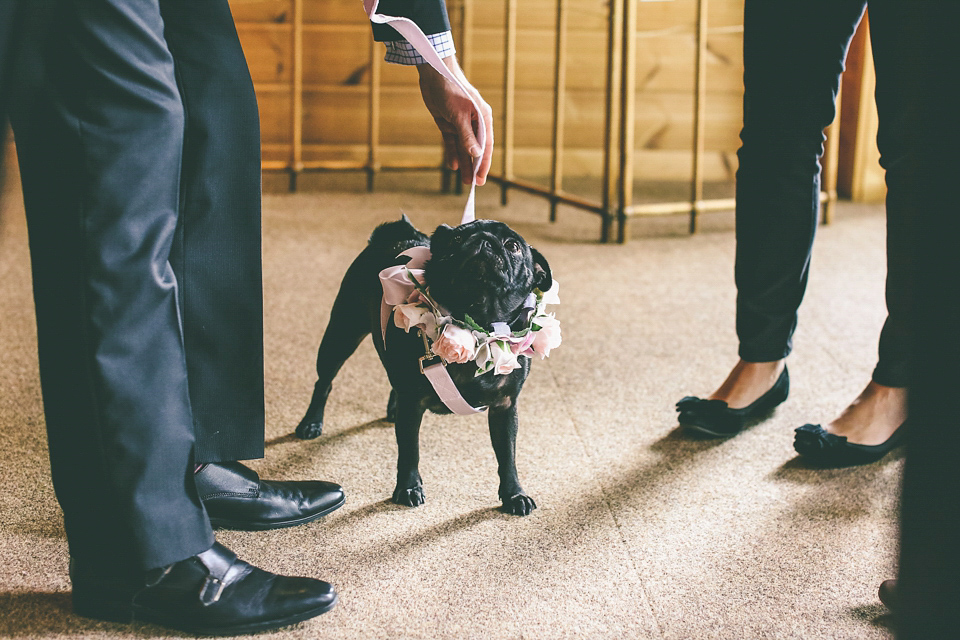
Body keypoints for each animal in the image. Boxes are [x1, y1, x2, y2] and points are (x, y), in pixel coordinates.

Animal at [298, 215, 556, 516]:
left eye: (513, 246)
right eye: (457, 239)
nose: (484, 240)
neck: (477, 321)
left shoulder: (504, 407)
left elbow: (507, 456)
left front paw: (514, 495)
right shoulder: (413, 404)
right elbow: (410, 450)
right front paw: (408, 488)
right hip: (341, 335)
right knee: (324, 382)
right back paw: (311, 423)